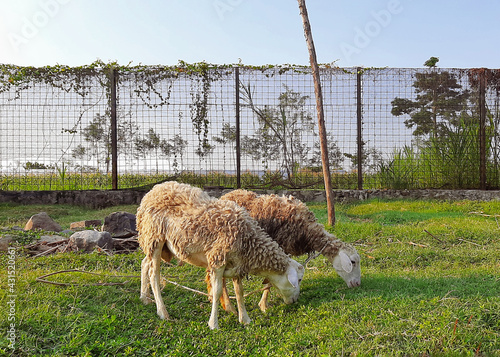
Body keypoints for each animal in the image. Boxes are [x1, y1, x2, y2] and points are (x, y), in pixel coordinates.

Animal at [135, 181, 304, 328]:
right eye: (299, 280)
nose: (295, 300)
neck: (249, 241)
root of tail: (152, 191)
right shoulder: (217, 260)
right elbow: (216, 292)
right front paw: (213, 324)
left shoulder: (237, 263)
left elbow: (239, 292)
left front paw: (245, 319)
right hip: (154, 237)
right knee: (154, 275)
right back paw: (162, 312)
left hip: (153, 242)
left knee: (144, 263)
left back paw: (145, 298)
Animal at [213, 189, 362, 312]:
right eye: (353, 262)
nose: (358, 284)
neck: (308, 232)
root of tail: (225, 195)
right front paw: (263, 305)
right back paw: (229, 306)